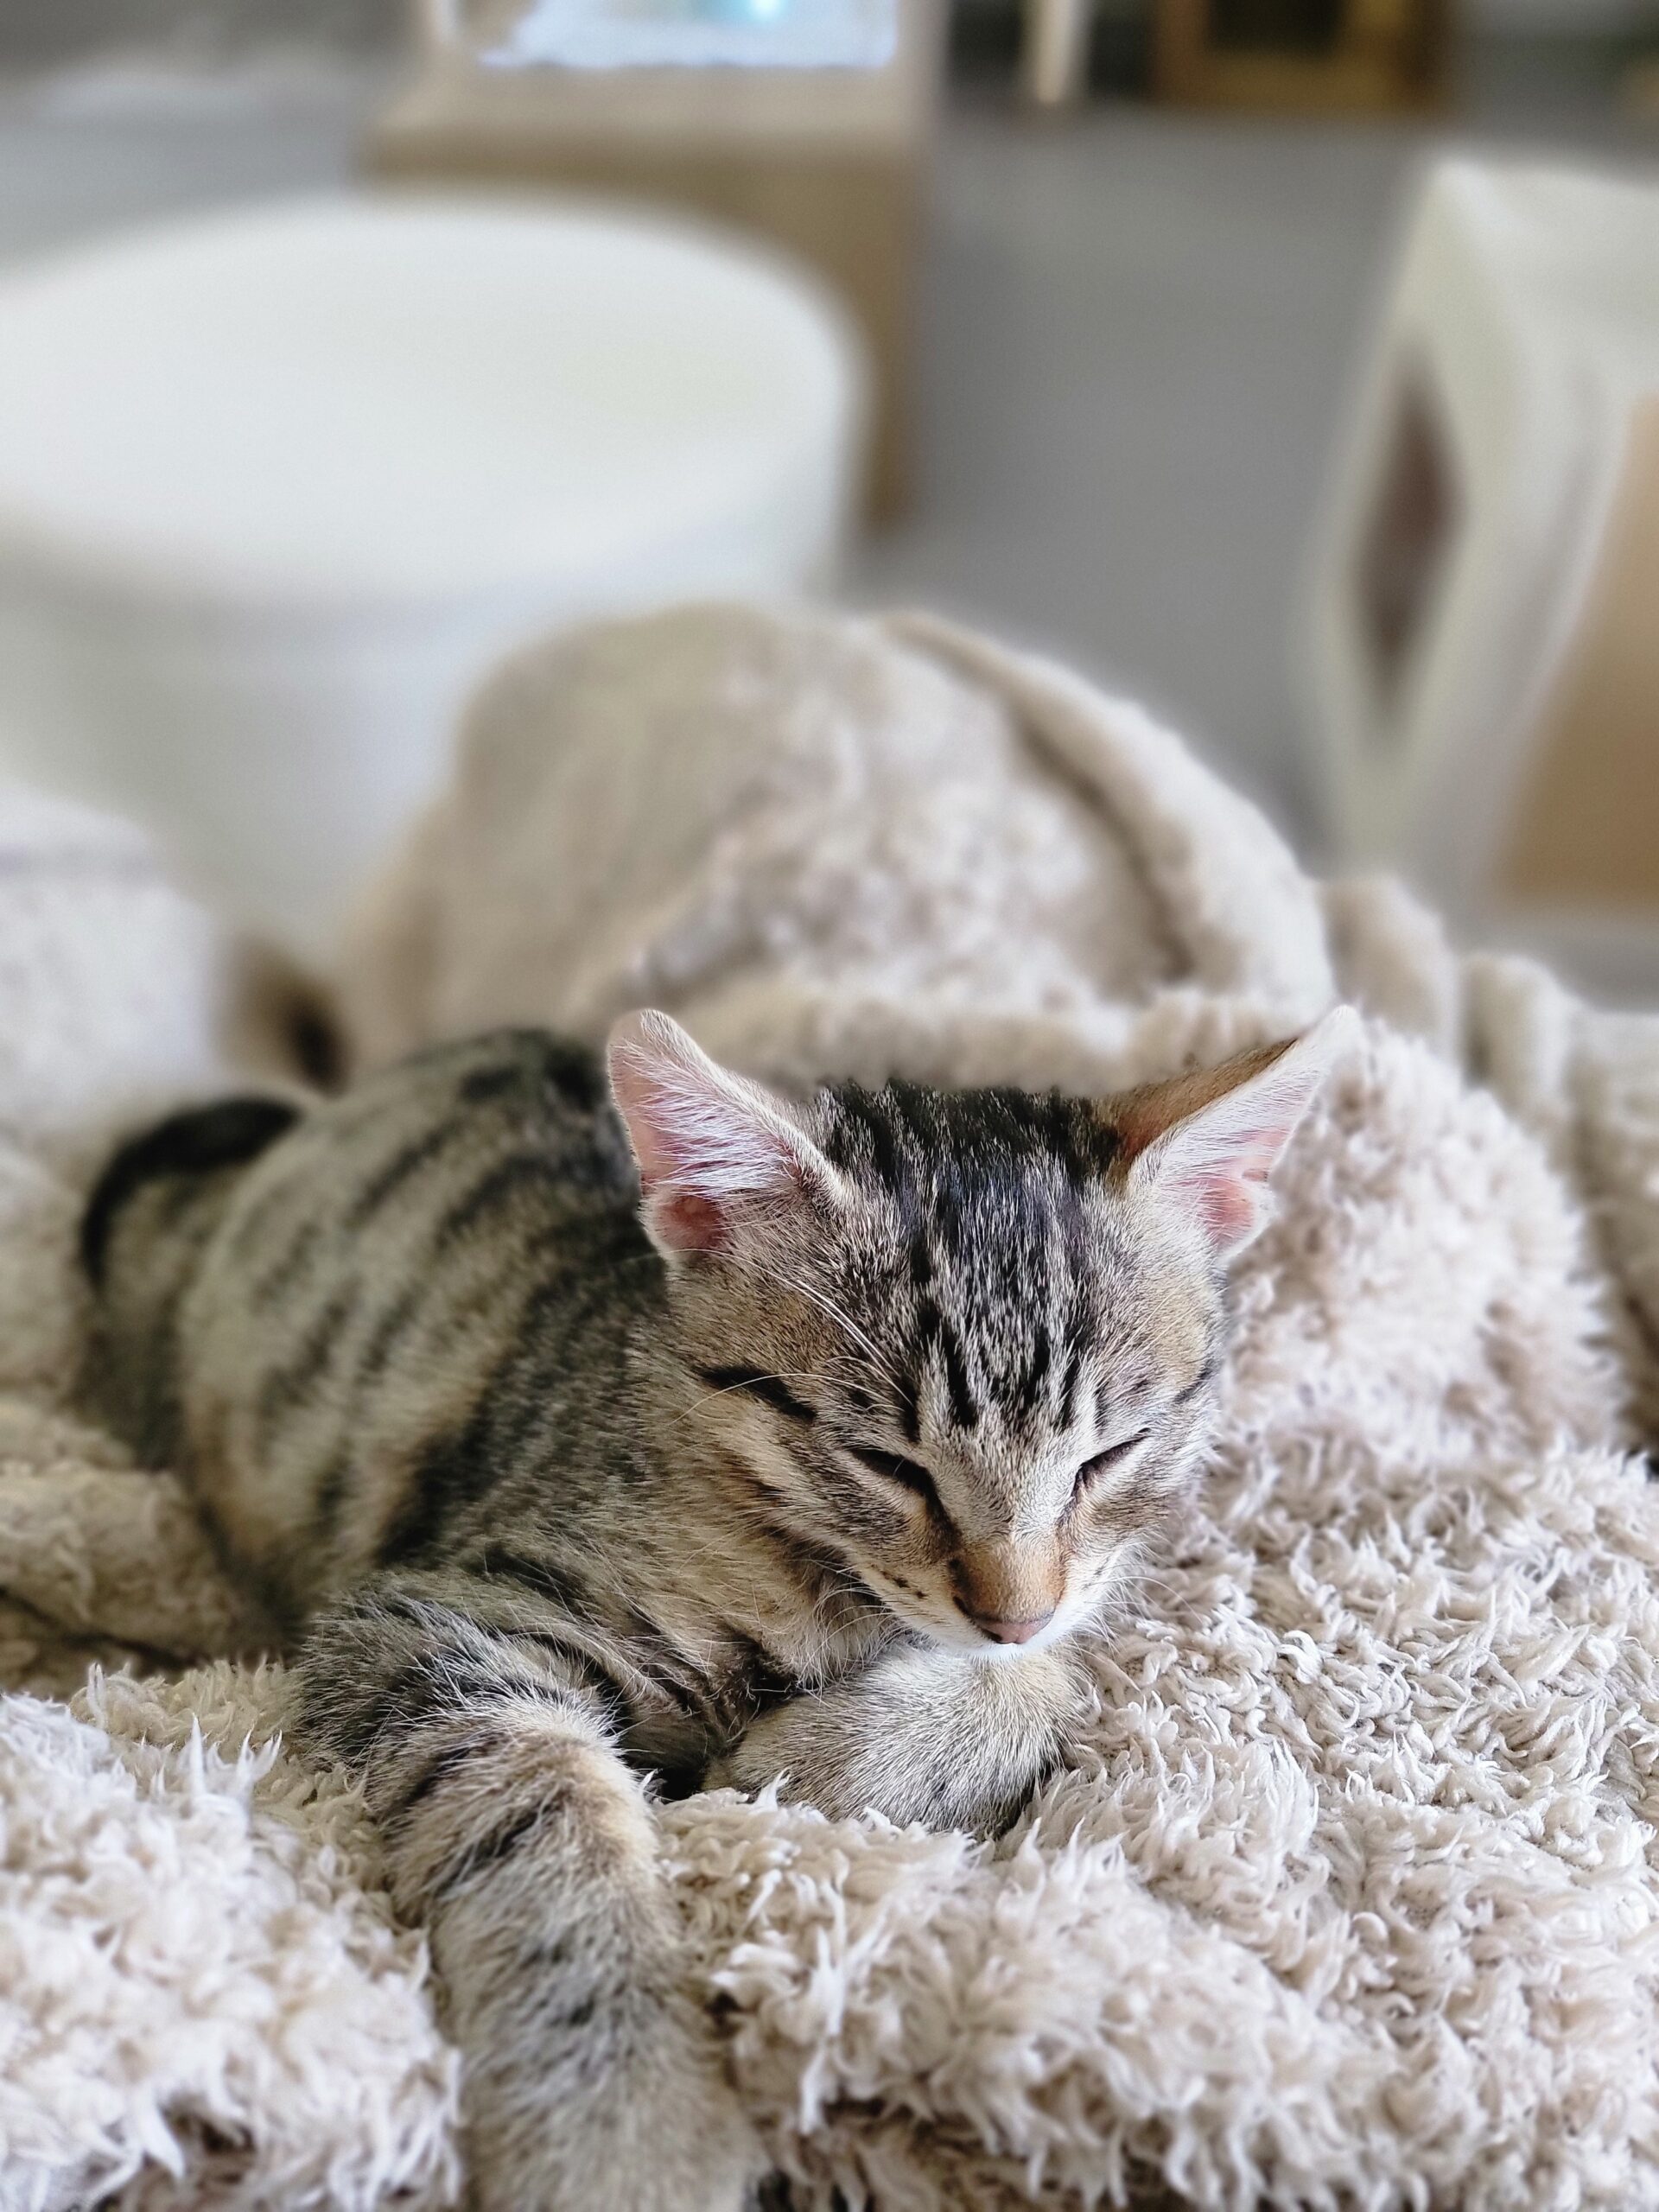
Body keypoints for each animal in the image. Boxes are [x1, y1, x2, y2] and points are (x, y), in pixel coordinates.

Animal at [79, 1005, 1349, 2212]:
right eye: (888, 1464)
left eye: (1110, 1456)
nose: (1013, 1610)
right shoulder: (432, 1620)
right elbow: (539, 1809)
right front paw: (625, 2128)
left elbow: (1051, 1681)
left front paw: (813, 1757)